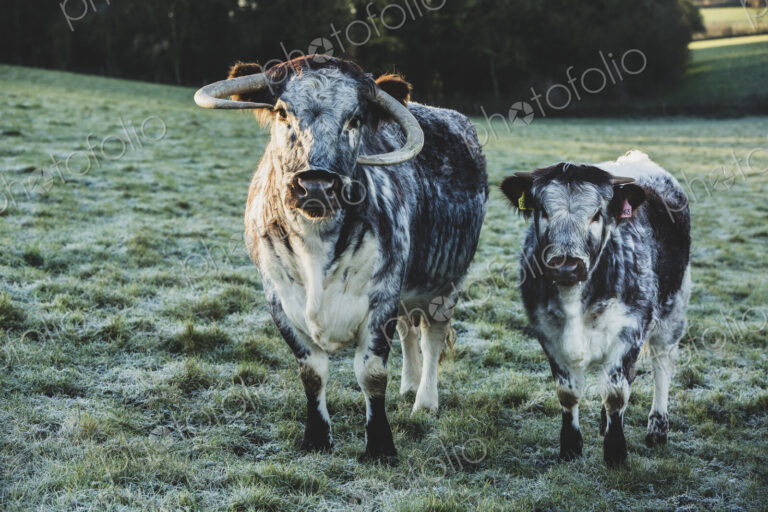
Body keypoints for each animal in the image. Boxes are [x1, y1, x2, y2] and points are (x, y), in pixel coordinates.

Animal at [194, 56, 488, 458]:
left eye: (355, 118)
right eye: (283, 112)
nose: (316, 185)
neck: (316, 244)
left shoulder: (382, 297)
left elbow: (372, 374)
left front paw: (380, 445)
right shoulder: (279, 300)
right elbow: (312, 373)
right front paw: (317, 438)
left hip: (446, 283)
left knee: (431, 337)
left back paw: (425, 401)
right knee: (409, 331)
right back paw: (410, 386)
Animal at [500, 150, 691, 468]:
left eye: (596, 214)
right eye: (544, 211)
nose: (566, 265)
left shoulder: (630, 330)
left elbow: (616, 394)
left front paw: (615, 452)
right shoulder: (547, 334)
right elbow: (568, 393)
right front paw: (571, 447)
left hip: (673, 313)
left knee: (662, 365)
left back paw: (657, 429)